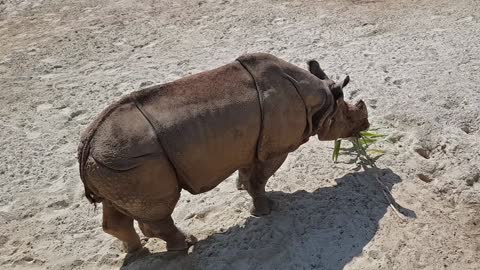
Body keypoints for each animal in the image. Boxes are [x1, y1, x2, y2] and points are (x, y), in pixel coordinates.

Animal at [78, 52, 372, 253]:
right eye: (349, 115)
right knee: (159, 209)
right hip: (132, 161)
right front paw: (266, 210)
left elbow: (248, 172)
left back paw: (136, 251)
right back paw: (185, 245)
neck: (322, 101)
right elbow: (259, 179)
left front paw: (242, 188)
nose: (366, 127)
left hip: (112, 165)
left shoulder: (252, 143)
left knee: (116, 209)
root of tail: (87, 147)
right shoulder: (275, 149)